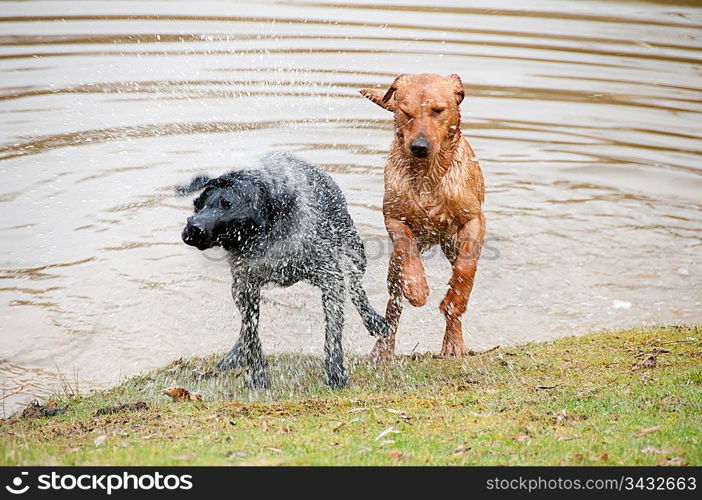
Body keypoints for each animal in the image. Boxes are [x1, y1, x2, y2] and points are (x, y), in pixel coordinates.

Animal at [179, 152, 388, 390]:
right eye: (197, 205)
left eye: (227, 204)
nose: (192, 228)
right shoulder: (244, 285)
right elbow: (251, 334)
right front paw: (256, 374)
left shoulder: (330, 278)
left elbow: (332, 334)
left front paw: (335, 370)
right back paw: (235, 354)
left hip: (354, 250)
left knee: (356, 288)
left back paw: (373, 320)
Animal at [360, 72, 486, 358]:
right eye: (406, 112)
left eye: (438, 110)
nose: (418, 146)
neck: (428, 173)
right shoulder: (393, 217)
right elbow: (406, 246)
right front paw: (417, 288)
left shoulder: (473, 219)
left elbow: (466, 268)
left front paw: (454, 301)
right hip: (394, 270)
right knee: (393, 306)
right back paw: (383, 349)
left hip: (451, 243)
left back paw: (454, 343)